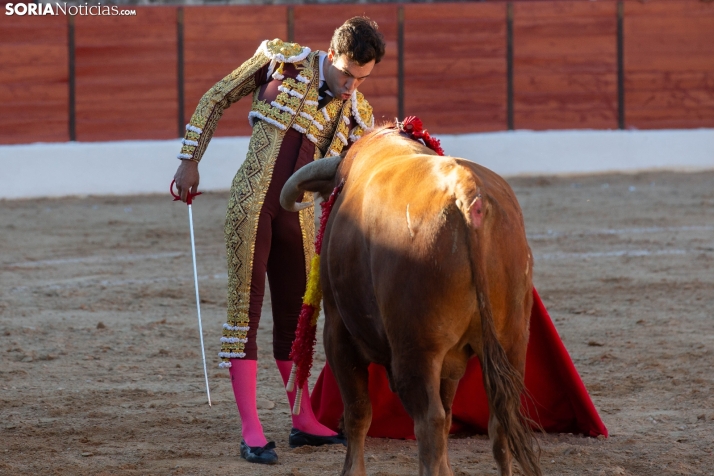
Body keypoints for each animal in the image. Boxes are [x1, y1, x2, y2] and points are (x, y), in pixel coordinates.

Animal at [278, 126, 540, 476]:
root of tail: (467, 191)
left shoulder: (337, 332)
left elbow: (358, 412)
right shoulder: (453, 359)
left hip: (415, 347)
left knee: (429, 421)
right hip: (511, 341)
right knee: (498, 421)